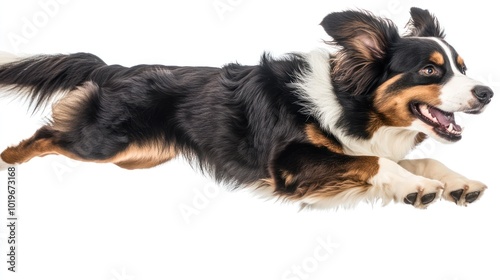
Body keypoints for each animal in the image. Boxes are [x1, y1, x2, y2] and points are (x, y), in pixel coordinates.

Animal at [0, 7, 492, 208]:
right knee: (47, 135)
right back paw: (9, 157)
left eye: (462, 67)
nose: (487, 93)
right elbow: (377, 162)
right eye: (429, 71)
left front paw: (458, 182)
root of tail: (114, 69)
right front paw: (418, 187)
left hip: (141, 154)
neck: (348, 102)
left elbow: (420, 159)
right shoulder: (290, 163)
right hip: (103, 142)